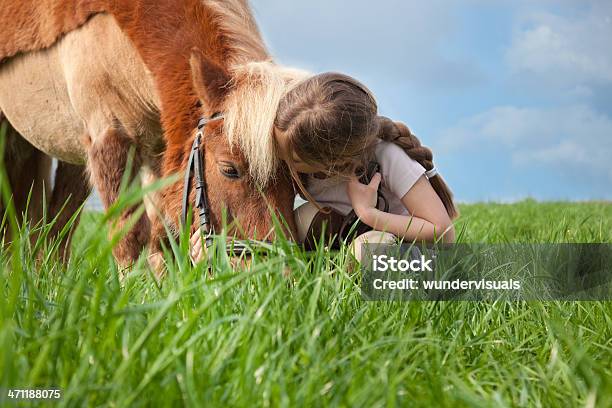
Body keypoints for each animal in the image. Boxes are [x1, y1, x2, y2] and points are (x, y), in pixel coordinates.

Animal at [0, 0, 306, 266]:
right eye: (229, 169)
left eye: (294, 180)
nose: (276, 272)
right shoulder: (110, 139)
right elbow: (129, 236)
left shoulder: (162, 150)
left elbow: (163, 236)